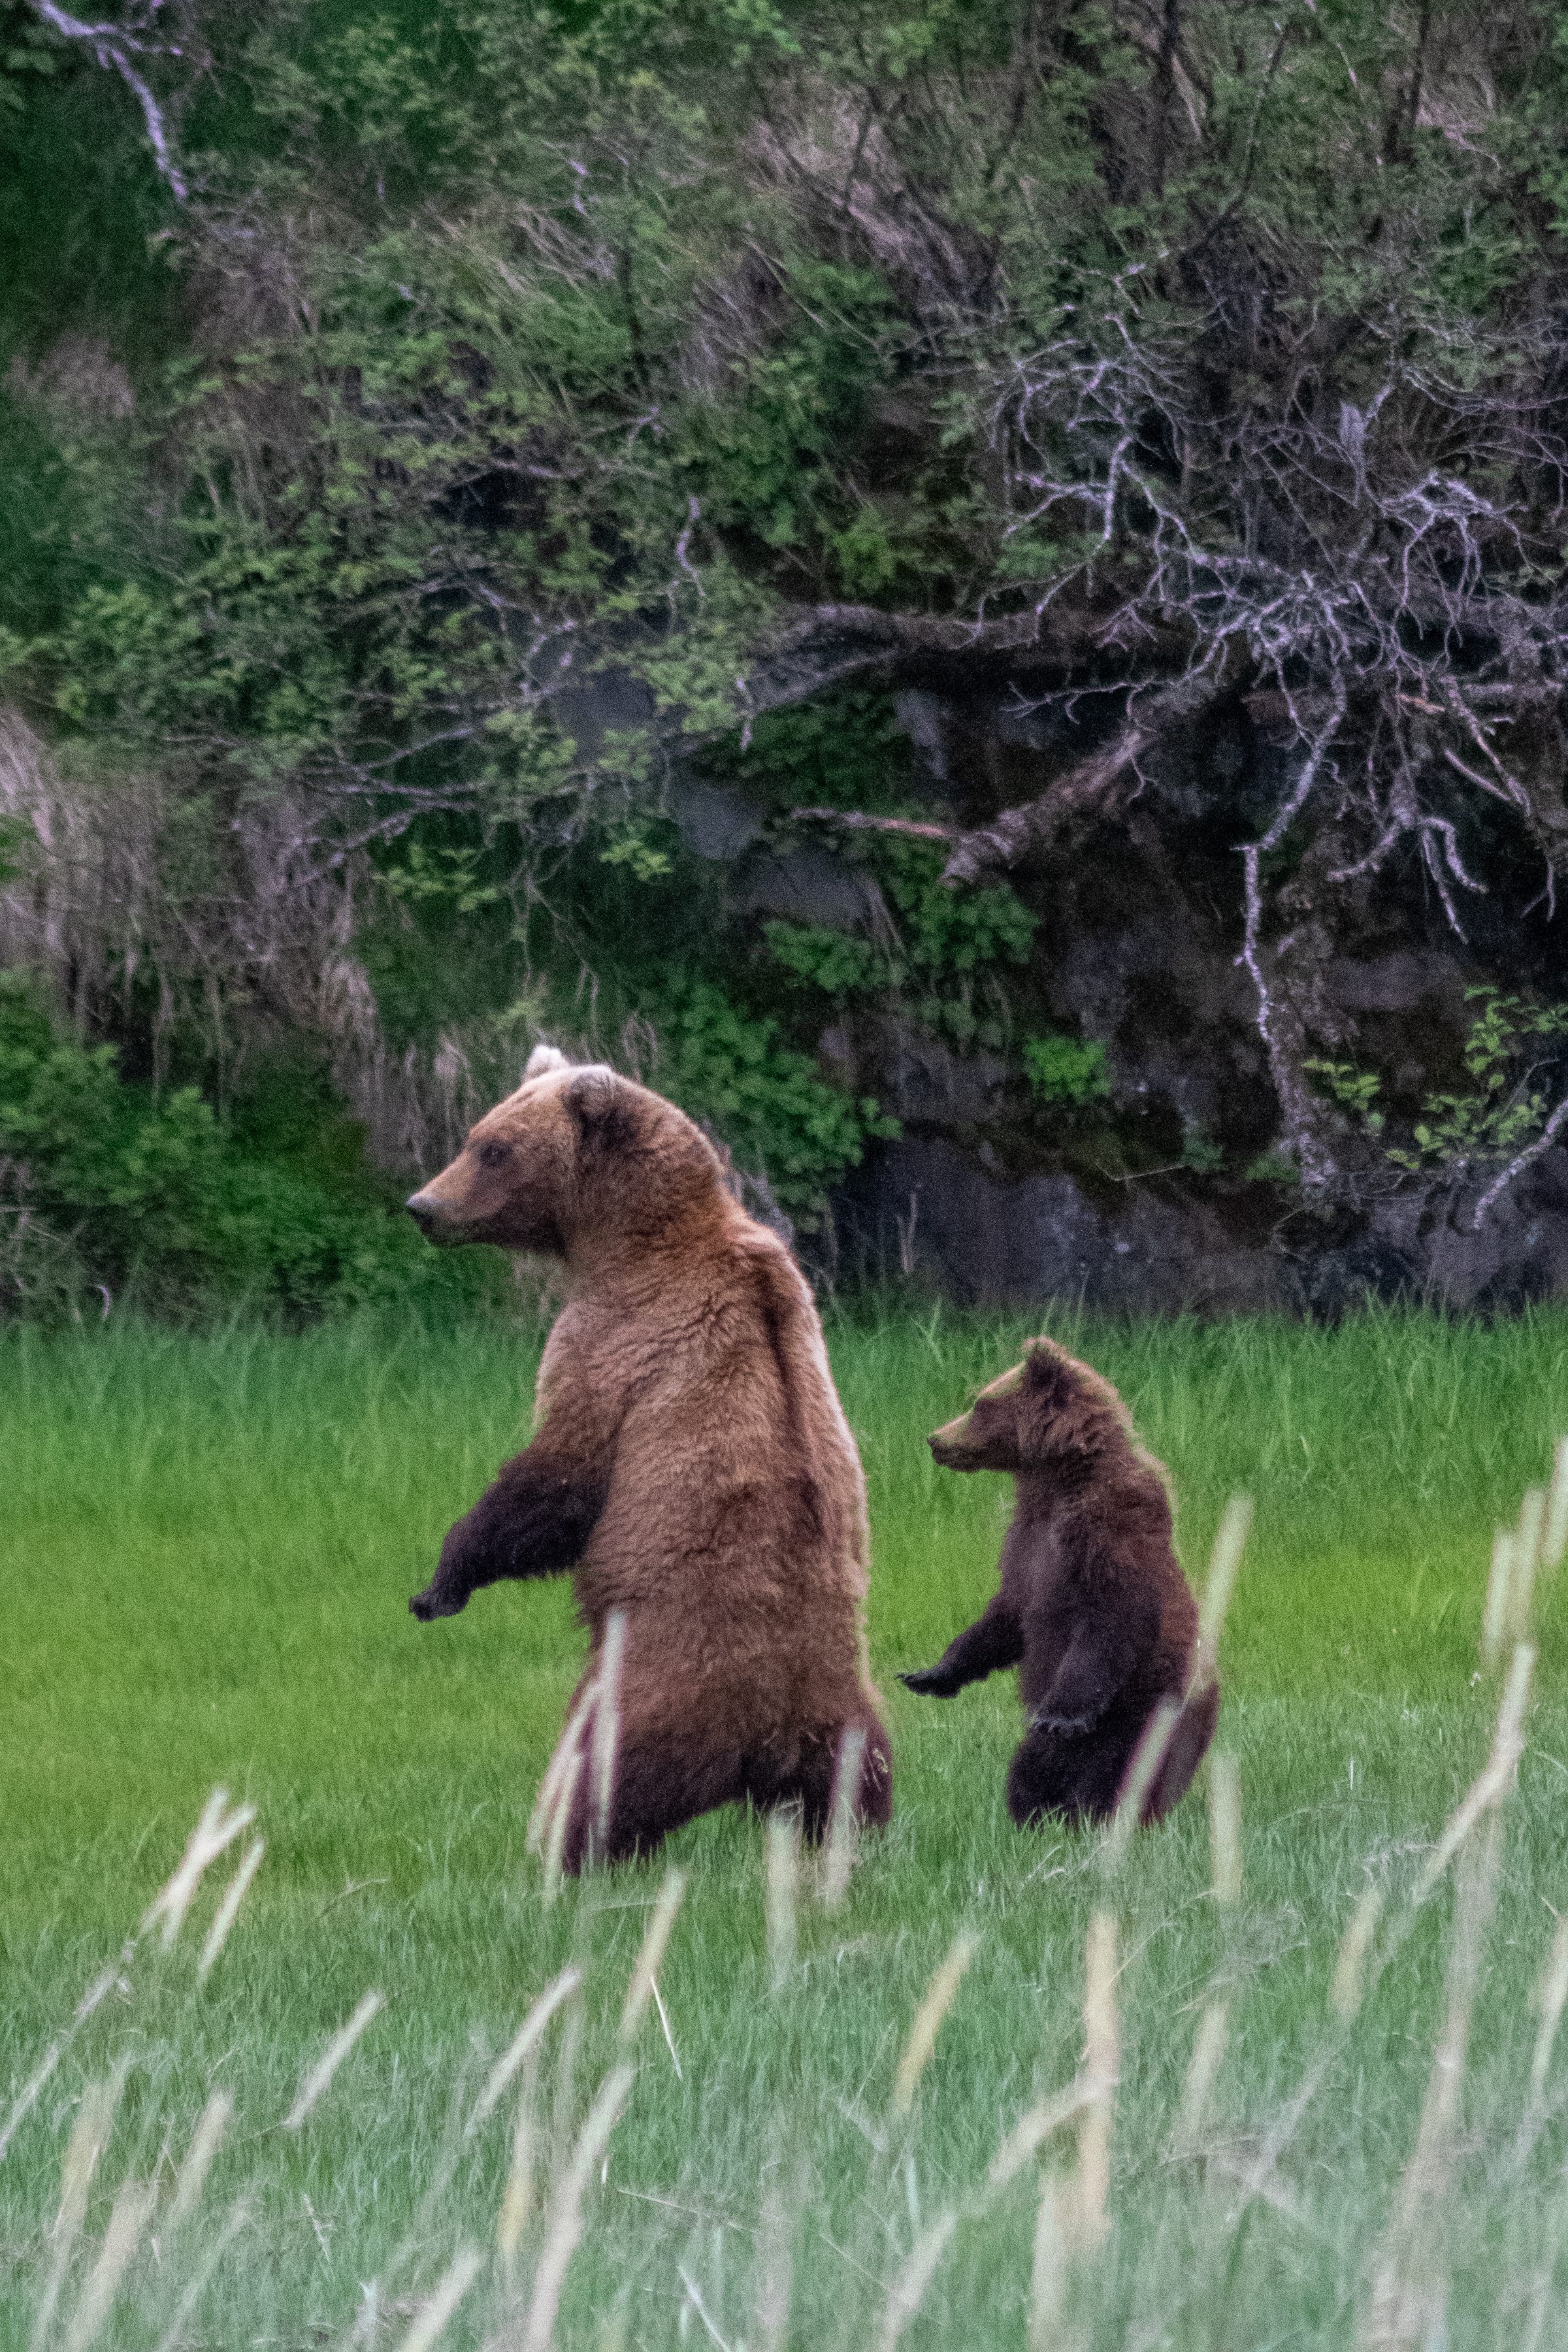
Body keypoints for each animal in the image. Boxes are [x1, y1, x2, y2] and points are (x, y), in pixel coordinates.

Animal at [404, 1049, 893, 1872]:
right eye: (475, 1135)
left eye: (493, 1147)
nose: (422, 1206)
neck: (625, 1239)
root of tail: (773, 1730)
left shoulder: (615, 1344)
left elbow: (558, 1480)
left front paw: (440, 1583)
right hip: (842, 1703)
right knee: (860, 1775)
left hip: (657, 1685)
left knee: (604, 1774)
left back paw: (567, 1850)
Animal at [893, 1335, 1213, 1825]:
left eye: (981, 1404)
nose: (936, 1439)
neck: (1055, 1481)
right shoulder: (1026, 1547)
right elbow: (1004, 1617)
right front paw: (930, 1673)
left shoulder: (1108, 1532)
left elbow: (1112, 1617)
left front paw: (1062, 1716)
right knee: (1030, 1769)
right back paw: (1036, 1814)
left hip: (1145, 1715)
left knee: (1117, 1773)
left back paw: (1102, 1813)